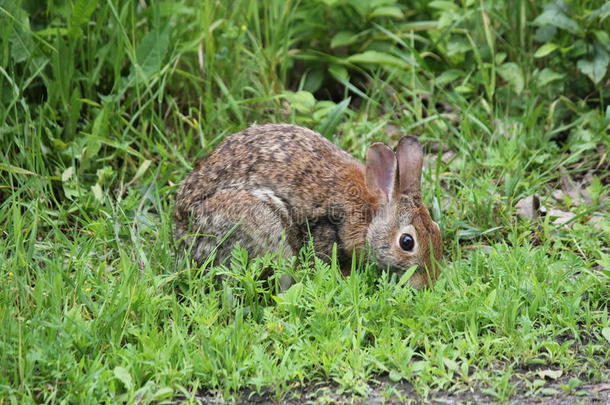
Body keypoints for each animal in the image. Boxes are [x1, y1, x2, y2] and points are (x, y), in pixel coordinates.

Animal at [175, 122, 442, 288]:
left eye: (437, 231)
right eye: (407, 242)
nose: (427, 283)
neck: (370, 216)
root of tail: (183, 238)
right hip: (258, 223)